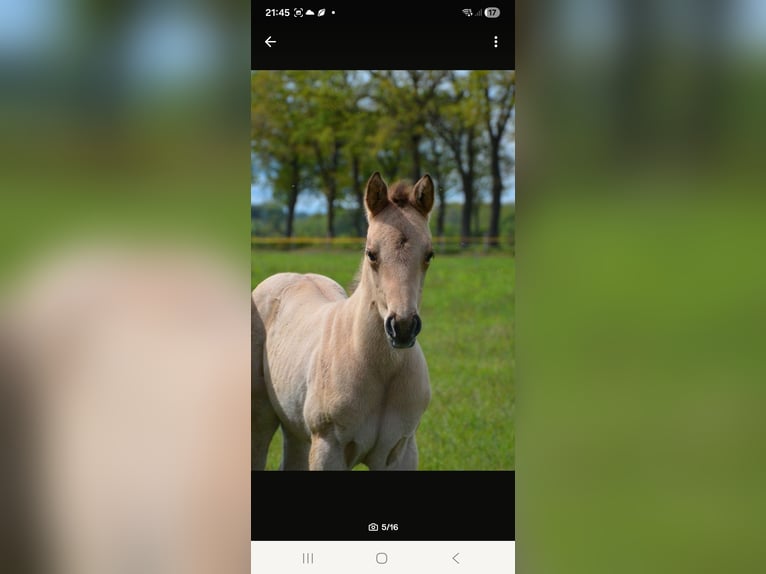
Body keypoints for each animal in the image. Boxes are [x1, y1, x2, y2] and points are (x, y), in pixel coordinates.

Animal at [252, 171, 435, 470]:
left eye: (429, 254)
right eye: (371, 253)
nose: (403, 327)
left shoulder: (401, 449)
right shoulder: (329, 447)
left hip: (295, 429)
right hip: (260, 418)